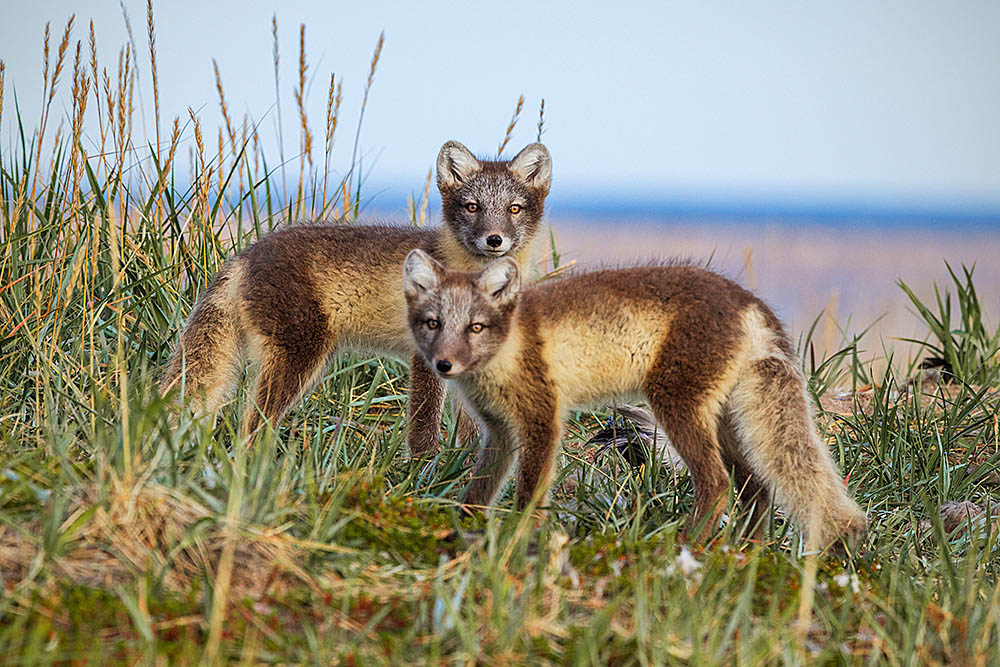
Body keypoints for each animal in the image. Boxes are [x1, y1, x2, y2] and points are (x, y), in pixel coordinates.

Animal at [165, 140, 556, 454]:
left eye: (514, 209)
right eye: (472, 207)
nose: (494, 240)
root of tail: (246, 255)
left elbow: (471, 426)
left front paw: (464, 468)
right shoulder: (425, 356)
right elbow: (424, 424)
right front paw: (424, 472)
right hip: (300, 354)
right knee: (251, 423)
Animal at [402, 250, 872, 548]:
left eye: (476, 328)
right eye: (432, 323)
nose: (443, 365)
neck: (507, 351)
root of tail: (749, 301)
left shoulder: (542, 421)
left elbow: (529, 493)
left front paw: (518, 538)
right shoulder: (500, 431)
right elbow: (479, 489)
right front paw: (460, 526)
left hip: (676, 406)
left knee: (718, 483)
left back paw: (685, 545)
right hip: (726, 423)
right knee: (755, 488)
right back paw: (739, 553)